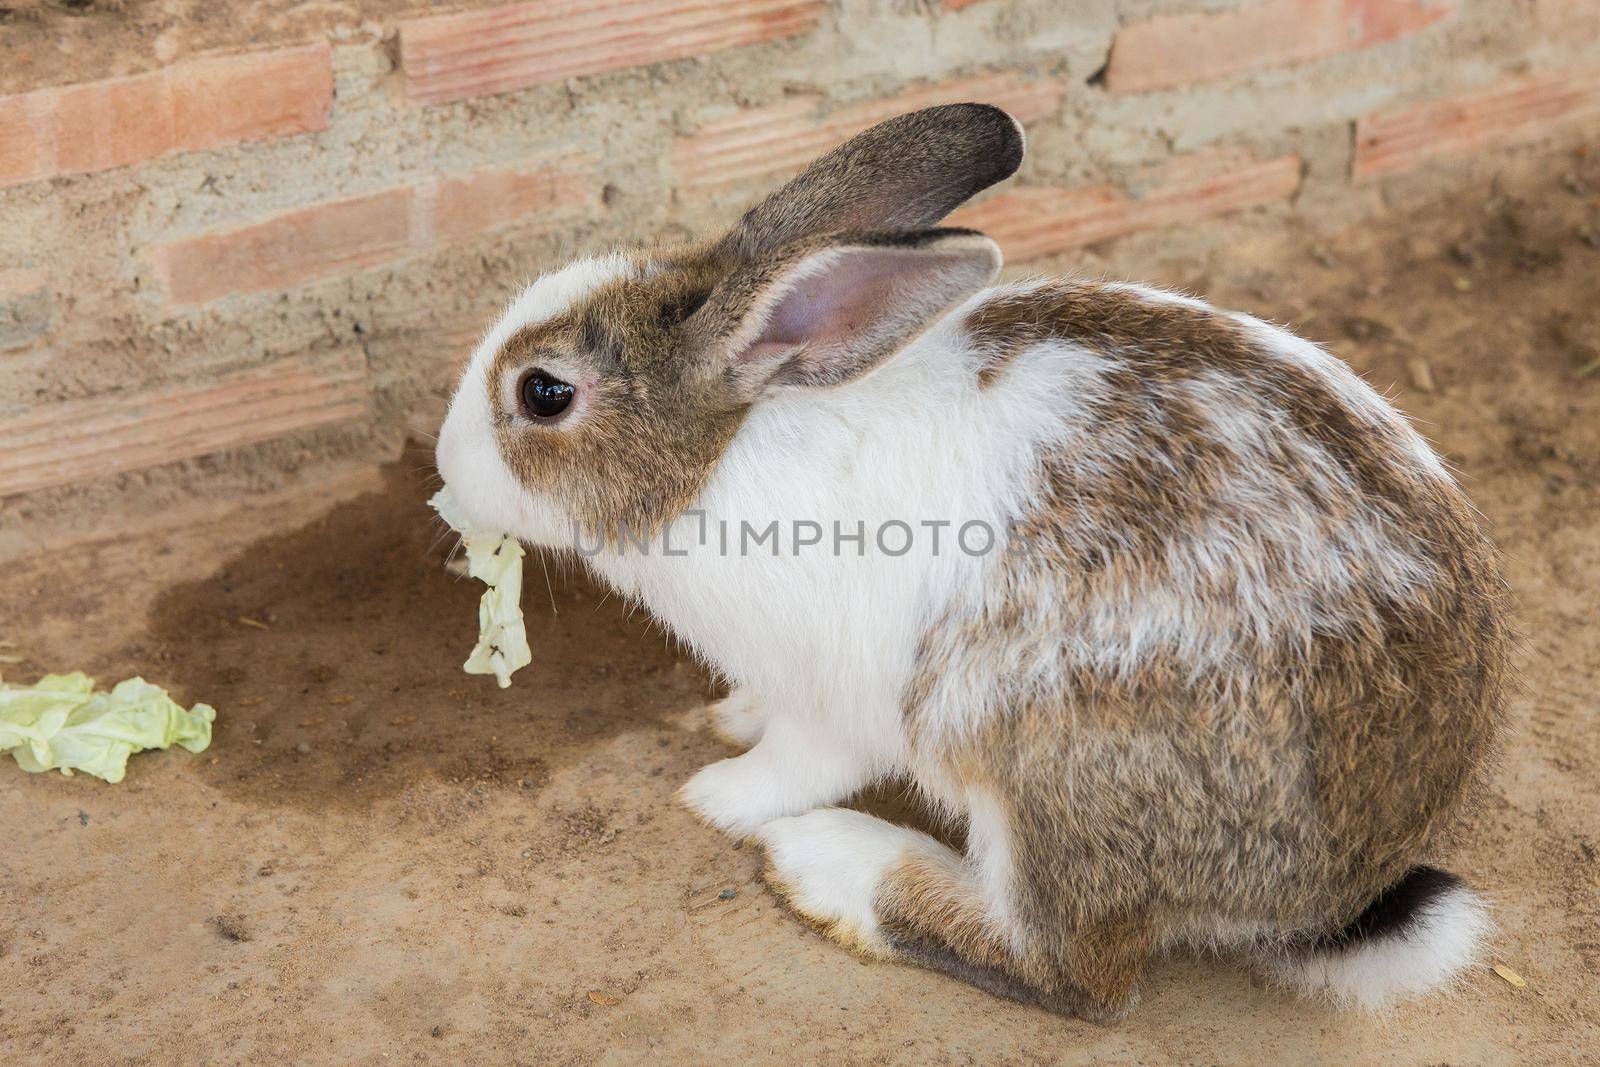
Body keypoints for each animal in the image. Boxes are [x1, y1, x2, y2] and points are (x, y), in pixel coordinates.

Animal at [432, 103, 1504, 1023]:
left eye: (542, 393)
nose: (446, 470)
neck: (723, 446)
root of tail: (1342, 882)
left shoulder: (837, 698)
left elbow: (794, 762)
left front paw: (717, 794)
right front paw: (727, 718)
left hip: (1044, 761)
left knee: (1070, 970)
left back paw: (831, 867)